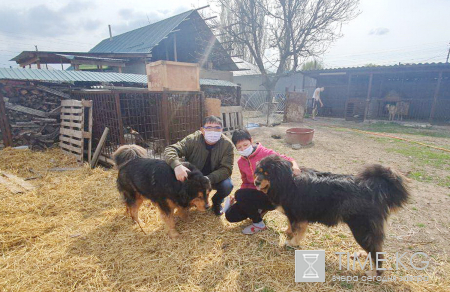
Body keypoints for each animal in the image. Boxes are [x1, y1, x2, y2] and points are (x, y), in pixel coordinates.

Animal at [255, 155, 410, 276]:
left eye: (267, 173)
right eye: (259, 171)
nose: (256, 181)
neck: (285, 180)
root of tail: (372, 188)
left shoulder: (297, 215)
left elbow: (297, 231)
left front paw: (292, 242)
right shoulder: (295, 215)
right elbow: (291, 226)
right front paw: (288, 233)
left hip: (361, 229)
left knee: (377, 253)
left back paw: (374, 274)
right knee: (374, 249)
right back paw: (362, 254)